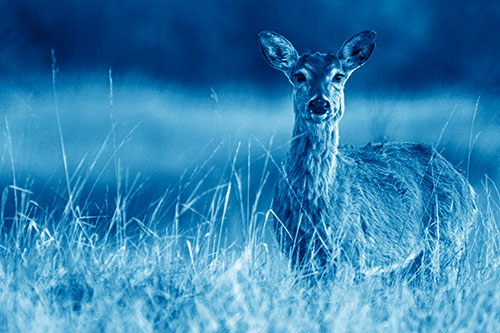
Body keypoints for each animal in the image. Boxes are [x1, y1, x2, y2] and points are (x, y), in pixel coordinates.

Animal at [258, 29, 476, 278]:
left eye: (338, 76)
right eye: (299, 76)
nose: (320, 104)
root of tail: (467, 186)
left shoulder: (351, 253)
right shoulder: (294, 252)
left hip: (447, 242)